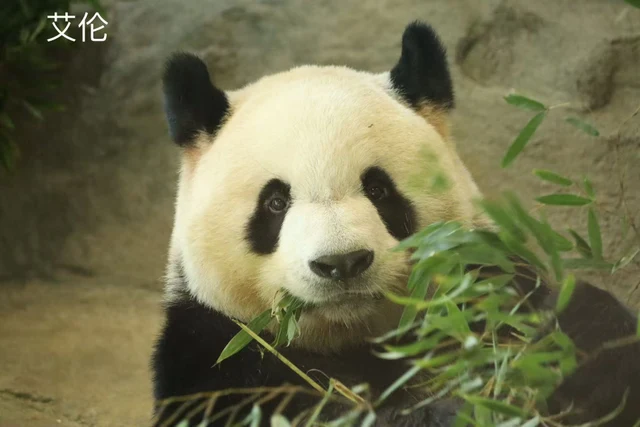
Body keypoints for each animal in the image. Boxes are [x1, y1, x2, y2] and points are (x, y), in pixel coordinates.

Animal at [151, 22, 640, 426]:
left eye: (378, 189)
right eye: (274, 202)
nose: (342, 263)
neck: (355, 340)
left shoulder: (489, 287)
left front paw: (581, 355)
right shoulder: (212, 353)